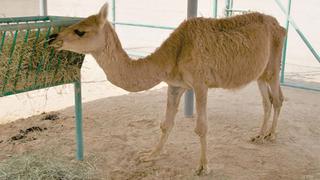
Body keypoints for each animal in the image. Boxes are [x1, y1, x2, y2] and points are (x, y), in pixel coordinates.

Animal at [49, 2, 284, 174]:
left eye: (80, 31)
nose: (53, 38)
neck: (173, 54)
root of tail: (280, 26)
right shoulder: (176, 85)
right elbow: (166, 124)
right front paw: (150, 155)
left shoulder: (200, 85)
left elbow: (201, 127)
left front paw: (203, 167)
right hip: (260, 73)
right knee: (267, 100)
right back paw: (258, 136)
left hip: (273, 65)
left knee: (278, 98)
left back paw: (271, 135)